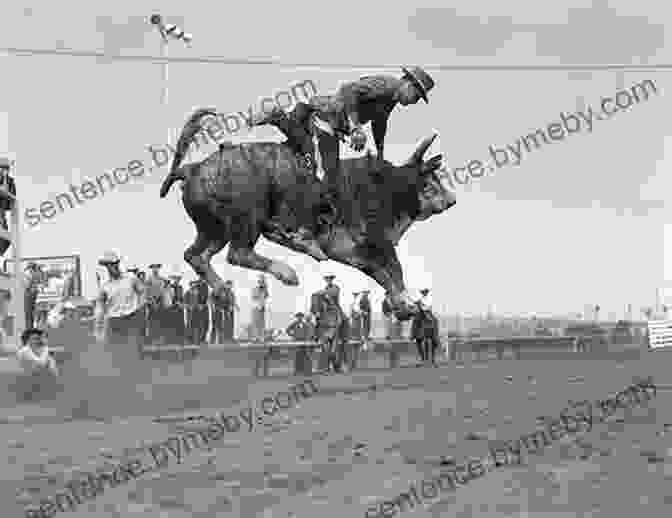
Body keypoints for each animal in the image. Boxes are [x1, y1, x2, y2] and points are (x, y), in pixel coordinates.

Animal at [159, 109, 454, 320]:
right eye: (430, 178)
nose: (451, 200)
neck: (387, 186)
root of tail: (193, 169)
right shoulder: (377, 243)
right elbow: (395, 270)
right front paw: (408, 303)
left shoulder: (358, 255)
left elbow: (385, 277)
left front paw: (404, 307)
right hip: (248, 219)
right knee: (238, 253)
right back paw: (286, 272)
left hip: (213, 229)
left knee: (196, 255)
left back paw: (221, 289)